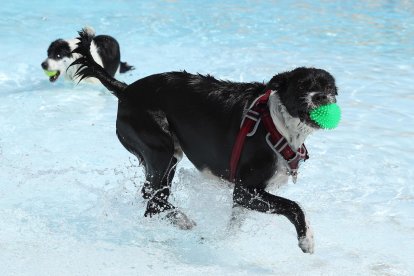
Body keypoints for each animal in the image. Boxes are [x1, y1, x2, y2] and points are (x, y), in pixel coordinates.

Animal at [69, 29, 338, 253]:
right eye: (302, 86)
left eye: (330, 87)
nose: (321, 97)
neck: (276, 124)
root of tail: (125, 89)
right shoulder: (244, 190)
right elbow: (294, 206)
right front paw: (306, 239)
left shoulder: (245, 198)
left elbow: (235, 224)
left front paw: (223, 242)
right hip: (160, 147)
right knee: (152, 198)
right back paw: (182, 220)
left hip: (166, 155)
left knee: (152, 197)